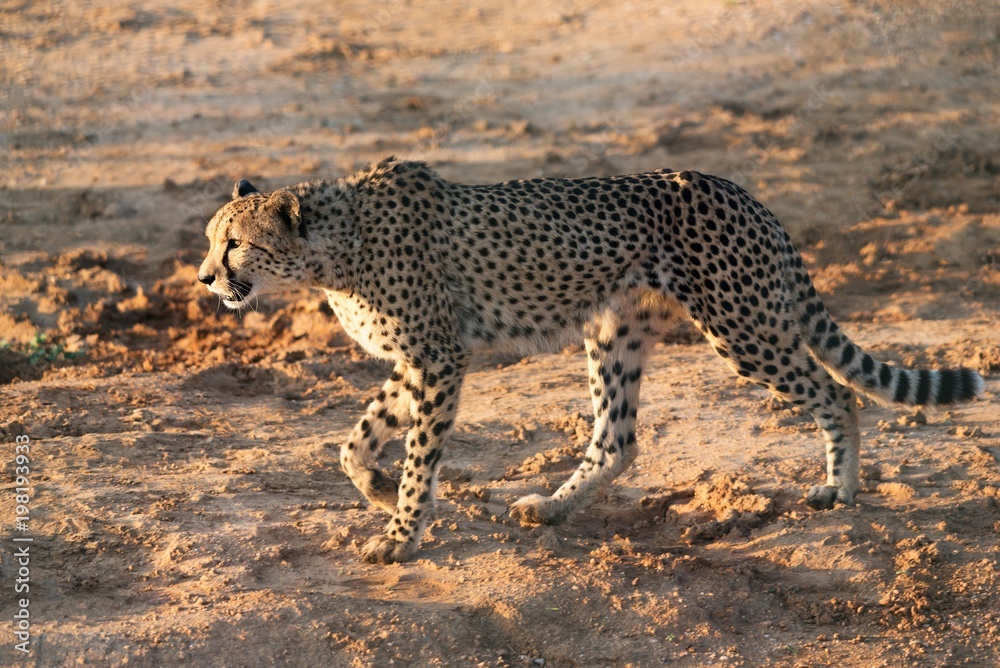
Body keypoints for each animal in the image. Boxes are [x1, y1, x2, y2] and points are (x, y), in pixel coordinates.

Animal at [197, 157, 985, 564]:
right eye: (211, 239)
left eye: (235, 244)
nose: (204, 278)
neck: (333, 248)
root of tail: (738, 189)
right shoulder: (420, 363)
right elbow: (352, 442)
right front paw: (382, 491)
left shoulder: (439, 358)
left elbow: (419, 453)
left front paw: (401, 530)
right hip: (615, 332)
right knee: (619, 440)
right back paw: (549, 506)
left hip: (742, 328)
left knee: (837, 392)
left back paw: (839, 490)